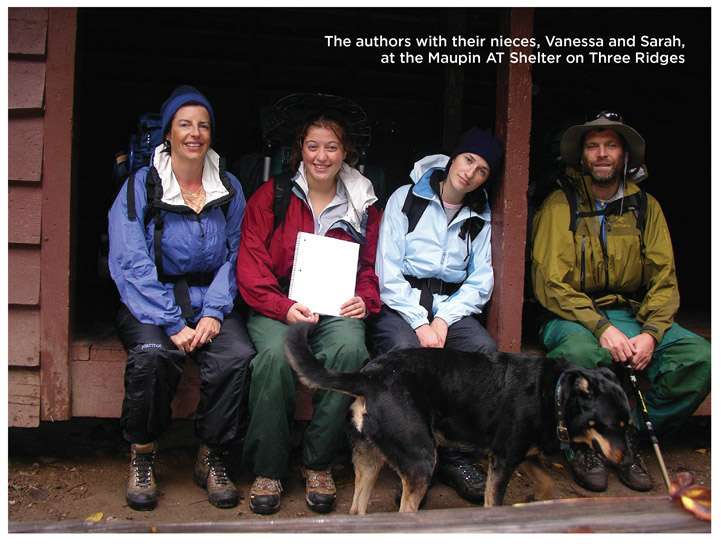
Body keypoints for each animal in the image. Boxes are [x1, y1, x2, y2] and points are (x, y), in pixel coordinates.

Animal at [282, 324, 632, 512]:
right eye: (609, 426)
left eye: (628, 426)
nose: (625, 461)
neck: (553, 392)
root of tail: (369, 377)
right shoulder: (503, 460)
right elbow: (494, 502)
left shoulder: (521, 453)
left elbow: (545, 482)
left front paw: (533, 498)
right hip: (421, 458)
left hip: (369, 458)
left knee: (357, 510)